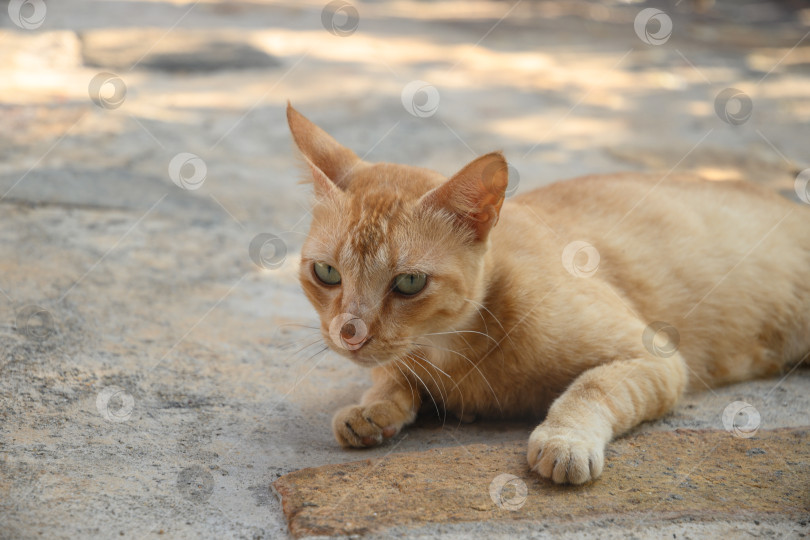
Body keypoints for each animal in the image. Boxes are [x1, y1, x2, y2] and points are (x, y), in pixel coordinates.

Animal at [286, 102, 808, 486]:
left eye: (409, 283)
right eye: (327, 273)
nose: (349, 333)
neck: (453, 352)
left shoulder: (657, 358)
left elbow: (592, 386)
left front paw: (564, 440)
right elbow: (393, 376)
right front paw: (373, 406)